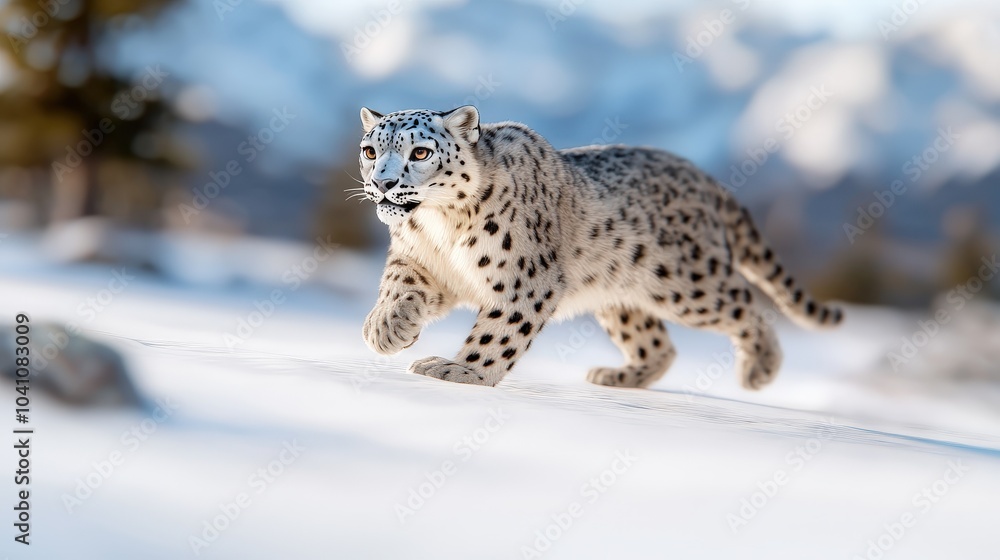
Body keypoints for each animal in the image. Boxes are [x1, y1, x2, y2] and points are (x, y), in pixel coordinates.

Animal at [357, 106, 842, 390]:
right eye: (369, 150)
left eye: (420, 153)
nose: (383, 183)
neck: (439, 227)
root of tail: (703, 177)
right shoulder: (420, 261)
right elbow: (396, 284)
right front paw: (387, 327)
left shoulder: (525, 279)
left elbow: (499, 332)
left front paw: (462, 371)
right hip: (620, 298)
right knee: (658, 345)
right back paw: (617, 375)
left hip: (686, 284)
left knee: (747, 305)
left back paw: (761, 369)